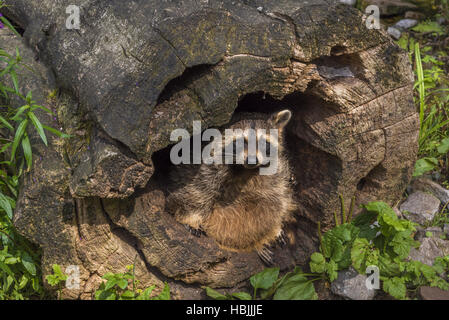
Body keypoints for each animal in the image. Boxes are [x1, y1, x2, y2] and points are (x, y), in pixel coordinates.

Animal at [164, 109, 294, 264]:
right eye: (240, 142)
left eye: (264, 142)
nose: (252, 160)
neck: (246, 170)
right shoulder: (204, 169)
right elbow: (197, 193)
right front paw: (190, 219)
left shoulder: (277, 174)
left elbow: (277, 204)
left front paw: (273, 230)